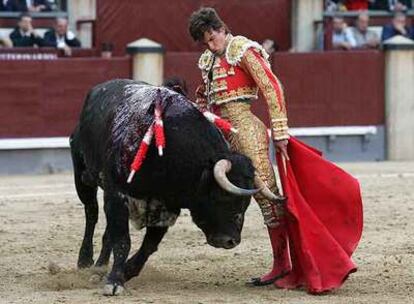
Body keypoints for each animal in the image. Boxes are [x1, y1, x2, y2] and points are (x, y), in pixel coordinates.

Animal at [69, 78, 274, 294]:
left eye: (246, 202)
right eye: (222, 196)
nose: (231, 241)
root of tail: (99, 88)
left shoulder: (166, 206)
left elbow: (148, 246)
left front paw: (125, 272)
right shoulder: (118, 193)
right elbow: (123, 240)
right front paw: (114, 282)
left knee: (108, 228)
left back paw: (100, 267)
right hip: (82, 176)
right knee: (91, 212)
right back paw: (86, 260)